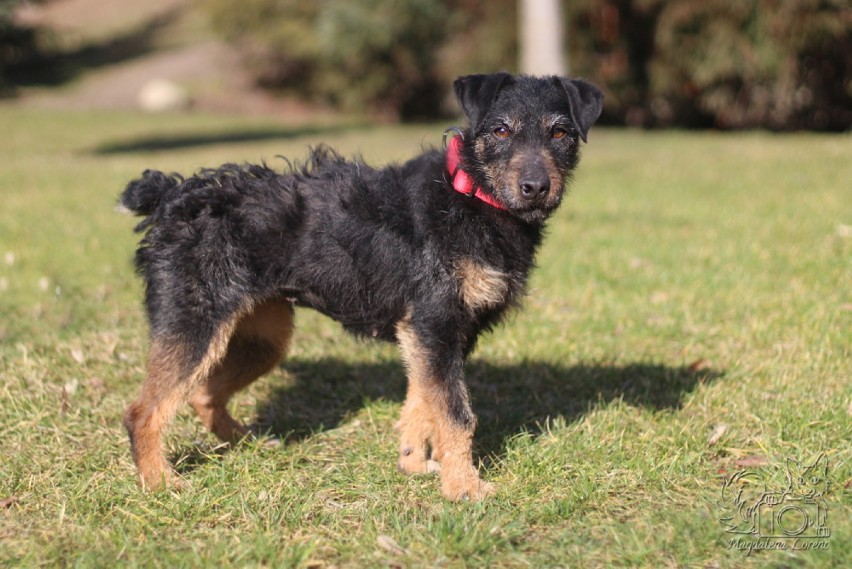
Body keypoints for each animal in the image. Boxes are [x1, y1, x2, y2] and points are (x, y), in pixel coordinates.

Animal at [120, 72, 604, 502]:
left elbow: (421, 403)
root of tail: (172, 196)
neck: (471, 194)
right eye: (501, 129)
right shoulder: (436, 324)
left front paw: (414, 464)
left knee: (202, 394)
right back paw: (160, 483)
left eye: (560, 133)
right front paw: (464, 488)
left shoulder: (433, 336)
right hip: (195, 324)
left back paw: (247, 443)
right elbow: (455, 414)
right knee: (143, 411)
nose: (535, 187)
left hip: (263, 337)